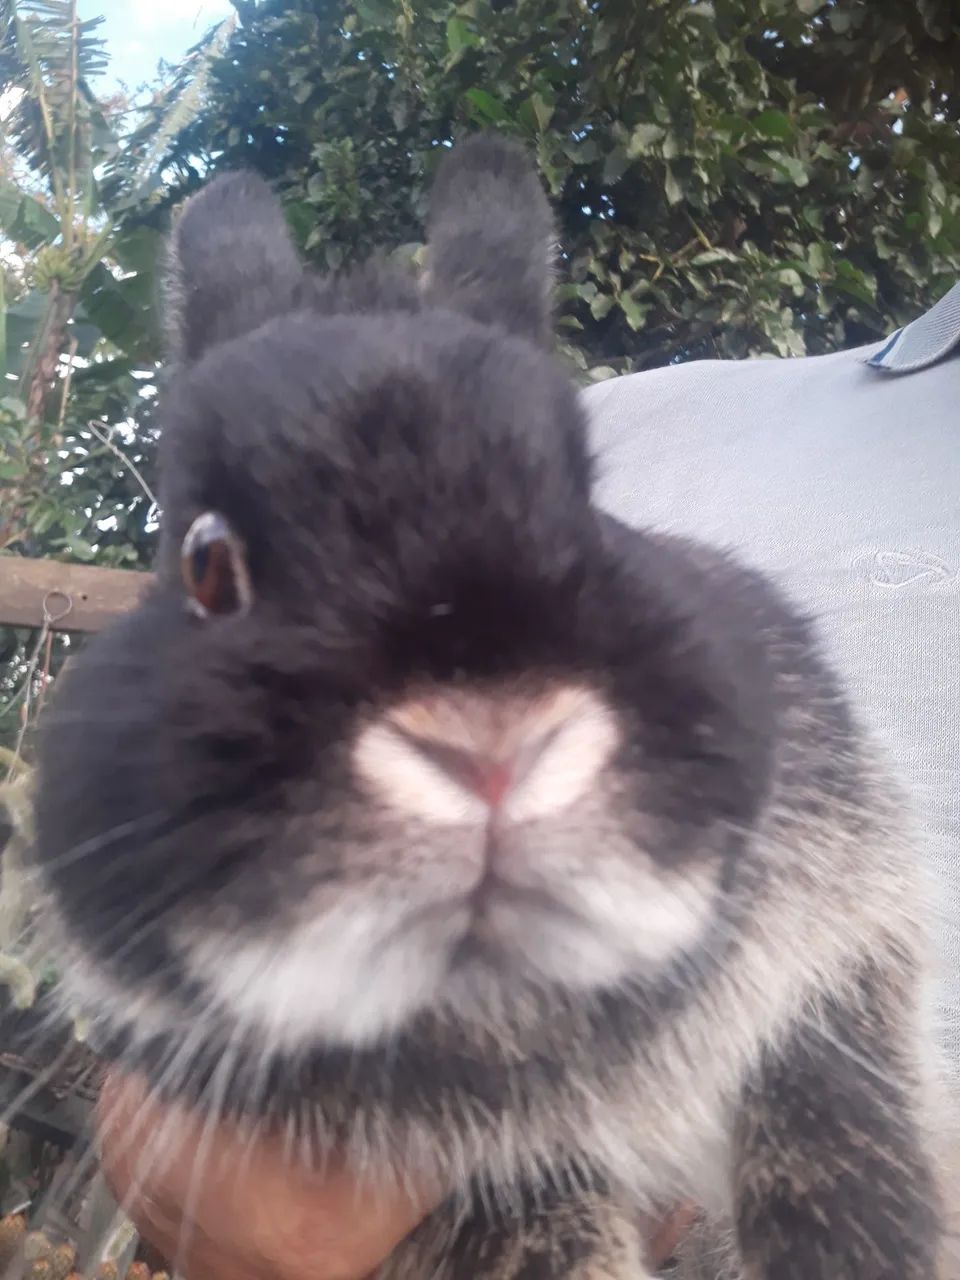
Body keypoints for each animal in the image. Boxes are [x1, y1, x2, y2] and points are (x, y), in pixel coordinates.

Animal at [31, 132, 958, 1279]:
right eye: (205, 563)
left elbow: (839, 1122)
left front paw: (870, 1251)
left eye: (589, 506)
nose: (489, 747)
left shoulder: (852, 942)